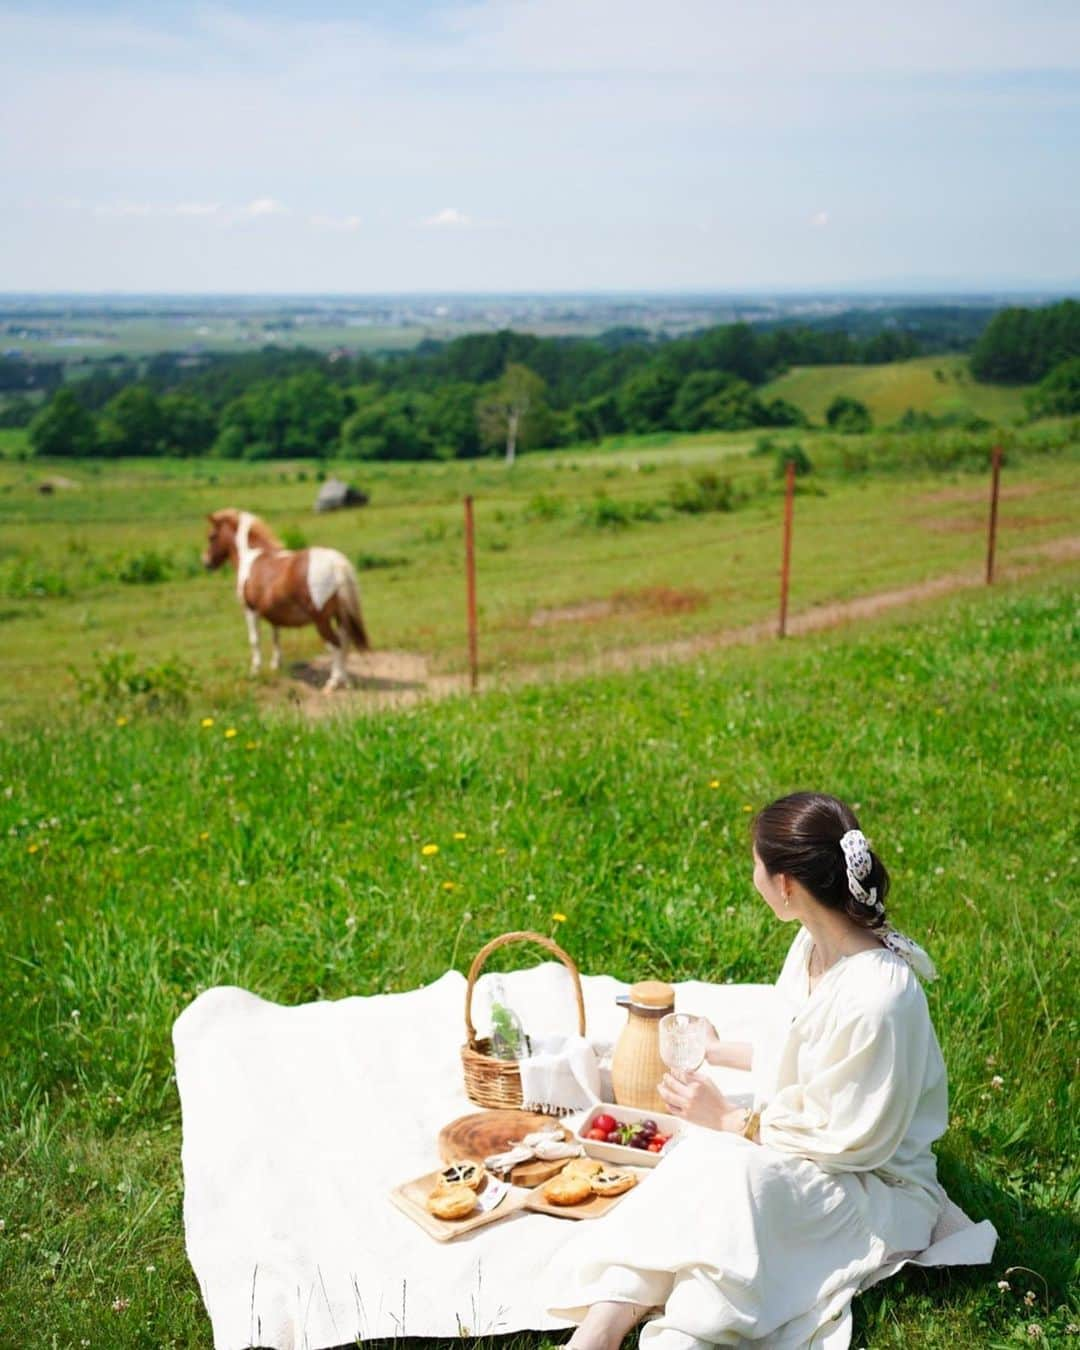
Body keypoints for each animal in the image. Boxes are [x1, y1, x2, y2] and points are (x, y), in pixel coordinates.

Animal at [203, 507, 372, 696]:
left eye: (211, 536)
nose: (206, 562)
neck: (251, 558)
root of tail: (336, 563)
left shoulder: (250, 610)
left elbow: (254, 640)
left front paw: (255, 671)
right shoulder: (273, 613)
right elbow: (276, 637)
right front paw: (276, 665)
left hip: (322, 620)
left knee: (336, 645)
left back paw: (333, 682)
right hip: (340, 616)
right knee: (346, 642)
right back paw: (346, 681)